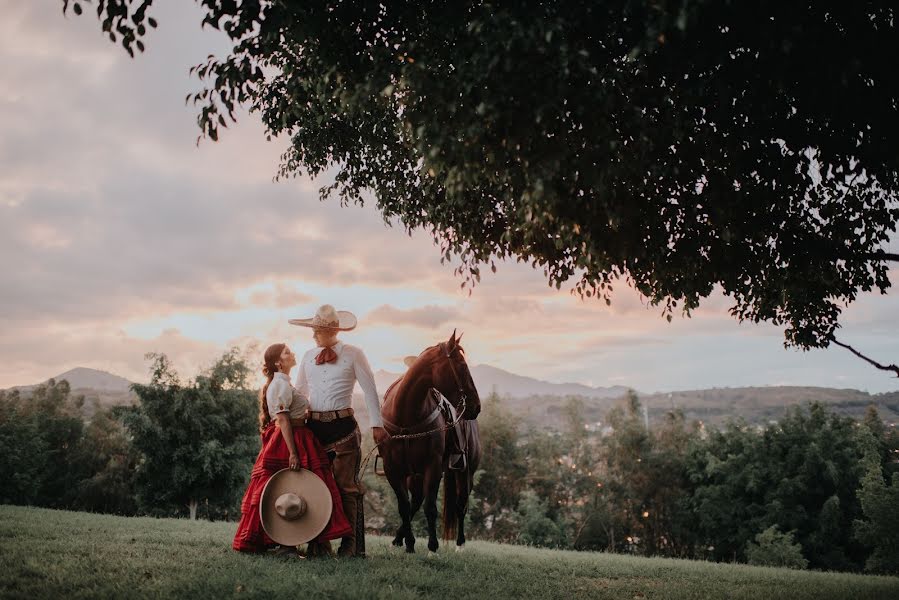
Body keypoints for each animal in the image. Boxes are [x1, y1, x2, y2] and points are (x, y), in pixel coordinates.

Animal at [380, 328, 482, 552]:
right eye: (462, 366)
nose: (476, 406)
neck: (406, 417)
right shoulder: (393, 469)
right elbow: (404, 506)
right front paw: (409, 543)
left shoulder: (433, 466)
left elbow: (430, 508)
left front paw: (432, 546)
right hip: (415, 475)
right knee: (415, 501)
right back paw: (399, 539)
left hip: (465, 473)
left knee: (460, 504)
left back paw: (460, 544)